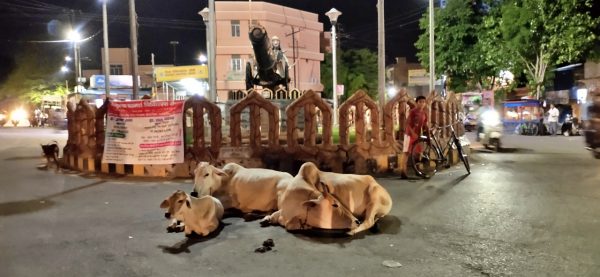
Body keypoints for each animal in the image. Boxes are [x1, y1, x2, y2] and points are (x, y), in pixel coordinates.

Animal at [262, 162, 394, 235]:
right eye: (334, 205)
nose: (355, 221)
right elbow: (274, 215)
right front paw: (266, 218)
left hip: (374, 198)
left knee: (369, 221)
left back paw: (351, 231)